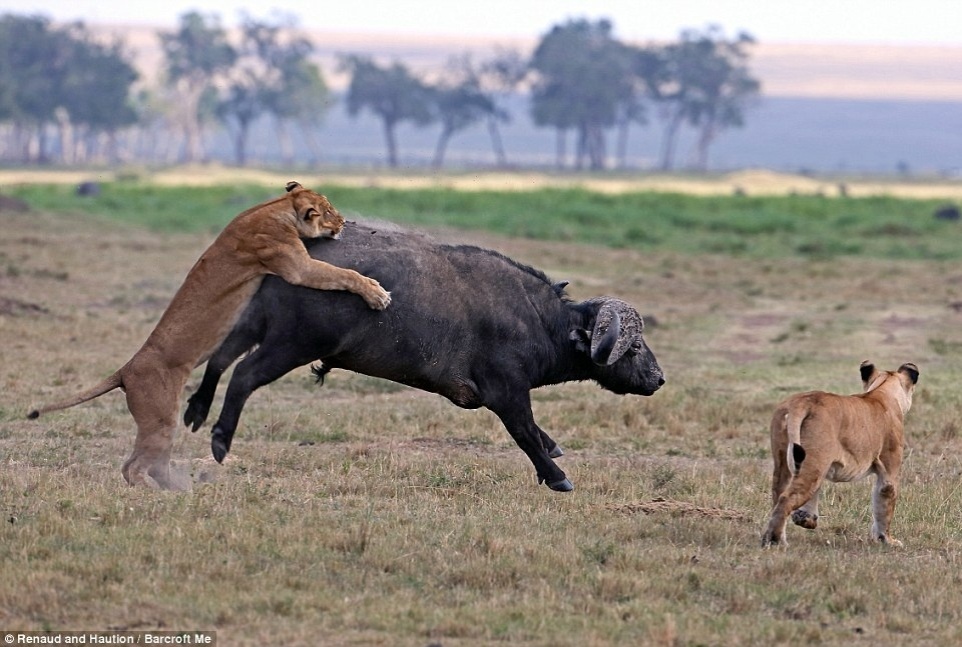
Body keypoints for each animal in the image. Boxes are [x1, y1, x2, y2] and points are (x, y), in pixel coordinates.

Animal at [184, 220, 664, 491]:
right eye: (636, 345)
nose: (659, 378)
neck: (538, 320)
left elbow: (538, 434)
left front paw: (554, 450)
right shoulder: (506, 392)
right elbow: (525, 432)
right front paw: (556, 477)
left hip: (253, 323)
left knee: (218, 359)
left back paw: (196, 410)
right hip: (291, 344)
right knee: (243, 375)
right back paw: (220, 440)